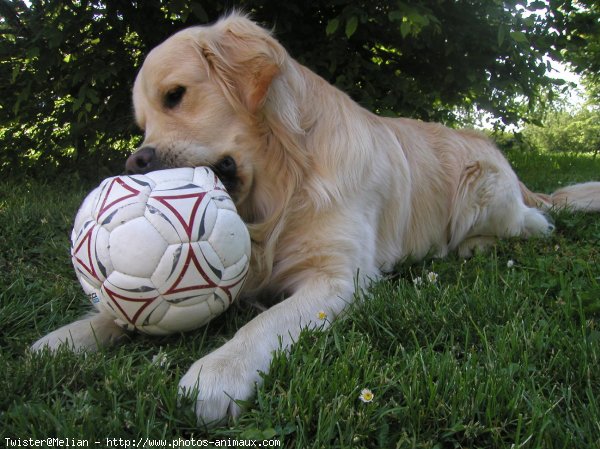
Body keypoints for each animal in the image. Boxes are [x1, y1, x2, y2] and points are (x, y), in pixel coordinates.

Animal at [34, 11, 600, 424]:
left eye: (176, 95)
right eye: (142, 123)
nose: (136, 162)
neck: (282, 186)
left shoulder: (337, 278)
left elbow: (262, 324)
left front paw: (217, 372)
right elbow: (118, 311)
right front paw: (69, 338)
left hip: (484, 189)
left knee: (534, 225)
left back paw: (476, 244)